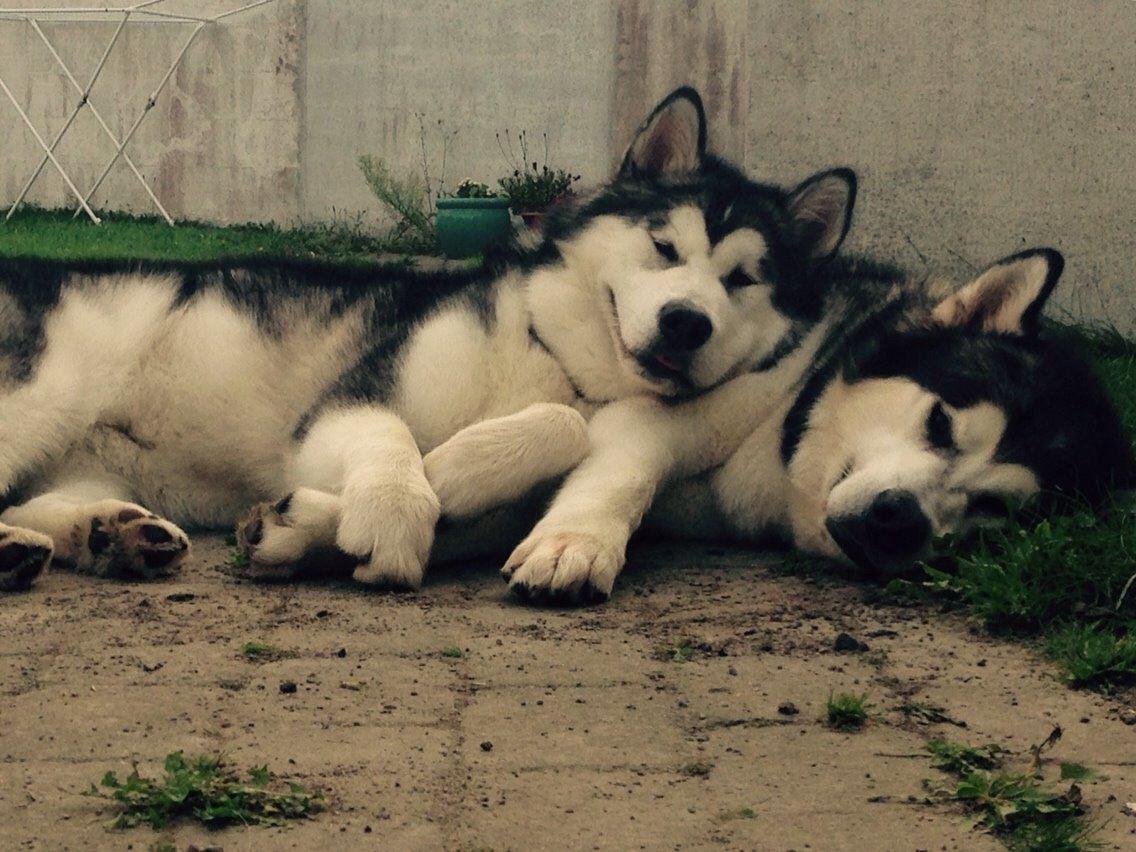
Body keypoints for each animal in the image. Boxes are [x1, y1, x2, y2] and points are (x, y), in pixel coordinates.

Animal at [0, 88, 854, 595]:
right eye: (665, 247)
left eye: (743, 280)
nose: (686, 321)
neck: (554, 361)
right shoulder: (342, 408)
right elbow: (391, 441)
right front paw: (397, 501)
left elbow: (566, 428)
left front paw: (452, 471)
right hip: (37, 393)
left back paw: (105, 534)